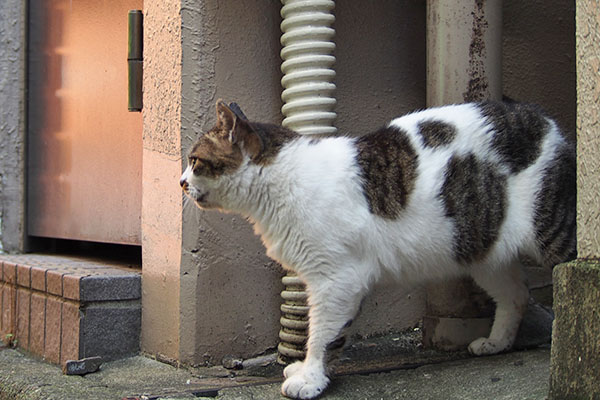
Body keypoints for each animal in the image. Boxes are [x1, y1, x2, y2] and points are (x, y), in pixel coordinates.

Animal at [179, 98, 576, 398]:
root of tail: (543, 119)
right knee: (516, 295)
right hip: (482, 249)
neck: (280, 180)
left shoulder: (336, 280)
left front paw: (312, 379)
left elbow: (321, 334)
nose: (181, 182)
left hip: (551, 230)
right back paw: (497, 343)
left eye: (195, 161)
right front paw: (312, 371)